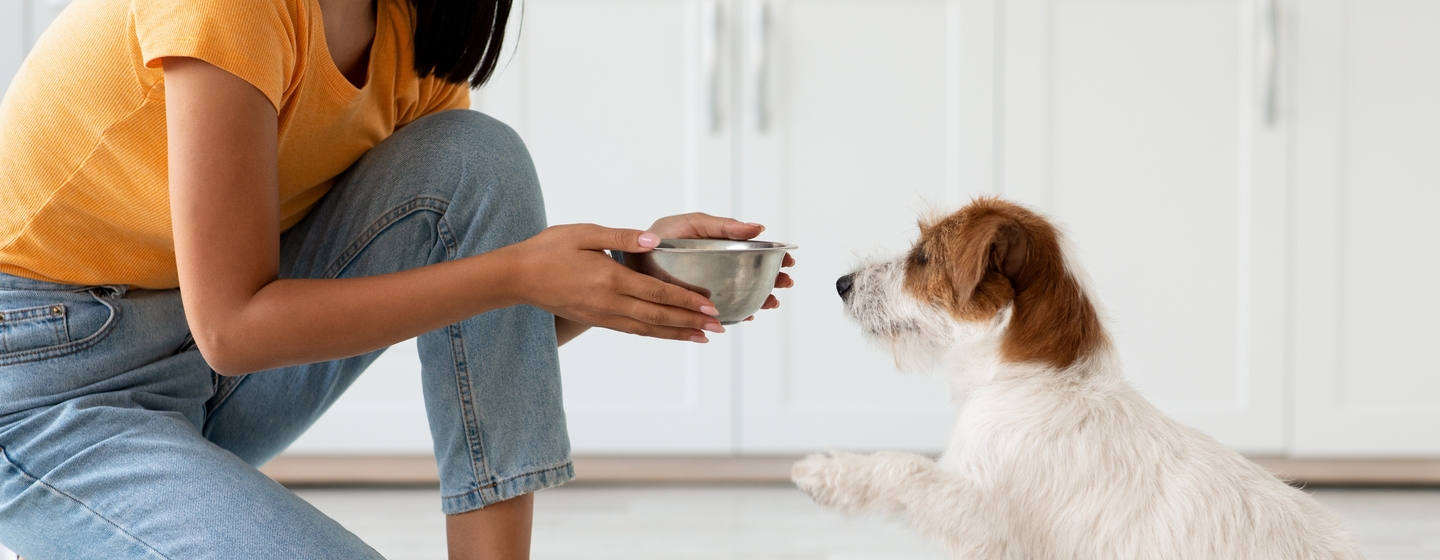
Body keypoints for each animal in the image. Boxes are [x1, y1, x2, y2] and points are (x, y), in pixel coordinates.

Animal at [789, 195, 1359, 558]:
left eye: (923, 257)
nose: (841, 282)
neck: (1036, 378)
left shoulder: (982, 516)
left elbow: (903, 467)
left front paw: (827, 472)